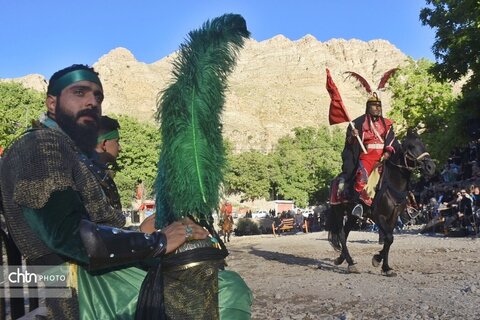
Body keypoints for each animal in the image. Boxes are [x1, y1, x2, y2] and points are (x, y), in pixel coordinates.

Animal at [328, 131, 436, 276]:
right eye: (411, 146)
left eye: (423, 144)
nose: (431, 167)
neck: (392, 184)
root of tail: (337, 179)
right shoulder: (378, 216)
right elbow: (389, 238)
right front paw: (378, 260)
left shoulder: (394, 217)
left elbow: (388, 240)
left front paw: (385, 266)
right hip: (339, 212)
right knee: (340, 234)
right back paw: (350, 263)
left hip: (352, 216)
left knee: (345, 234)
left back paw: (341, 259)